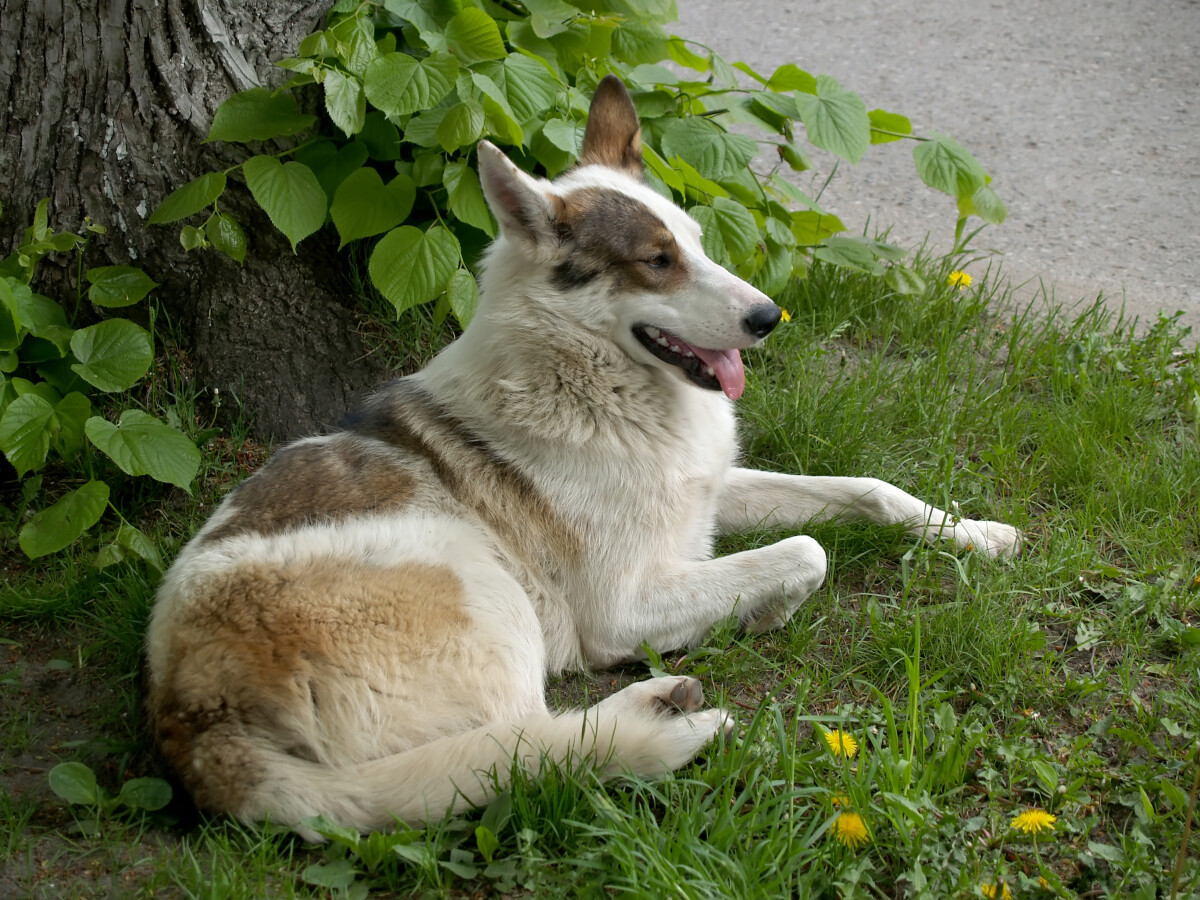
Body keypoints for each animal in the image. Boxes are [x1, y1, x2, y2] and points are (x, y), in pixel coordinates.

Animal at [145, 74, 1017, 844]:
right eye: (657, 261)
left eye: (698, 244)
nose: (771, 316)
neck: (590, 382)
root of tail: (195, 725)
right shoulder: (622, 607)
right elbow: (808, 553)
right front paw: (765, 612)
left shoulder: (713, 493)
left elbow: (869, 491)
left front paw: (974, 534)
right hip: (487, 593)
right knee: (525, 748)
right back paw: (655, 722)